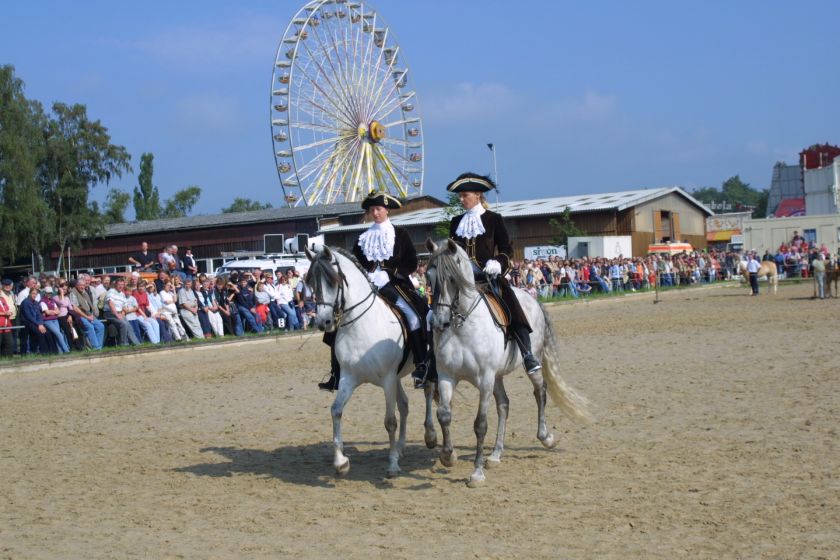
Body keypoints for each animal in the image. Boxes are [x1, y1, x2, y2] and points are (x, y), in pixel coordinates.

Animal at [304, 247, 436, 480]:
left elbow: (390, 421)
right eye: (310, 282)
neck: (361, 324)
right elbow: (336, 411)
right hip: (397, 377)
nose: (323, 322)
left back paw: (430, 436)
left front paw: (392, 466)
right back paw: (400, 447)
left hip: (419, 369)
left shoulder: (387, 380)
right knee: (404, 405)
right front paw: (341, 463)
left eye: (333, 281)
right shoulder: (348, 378)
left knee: (428, 391)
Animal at [426, 238, 592, 488]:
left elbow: (480, 424)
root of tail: (531, 297)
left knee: (540, 391)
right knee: (504, 404)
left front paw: (476, 473)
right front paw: (448, 456)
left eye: (453, 279)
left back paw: (546, 437)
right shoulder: (447, 376)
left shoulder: (484, 379)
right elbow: (444, 414)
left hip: (529, 362)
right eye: (428, 278)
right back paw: (495, 454)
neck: (462, 326)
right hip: (497, 376)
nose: (439, 322)